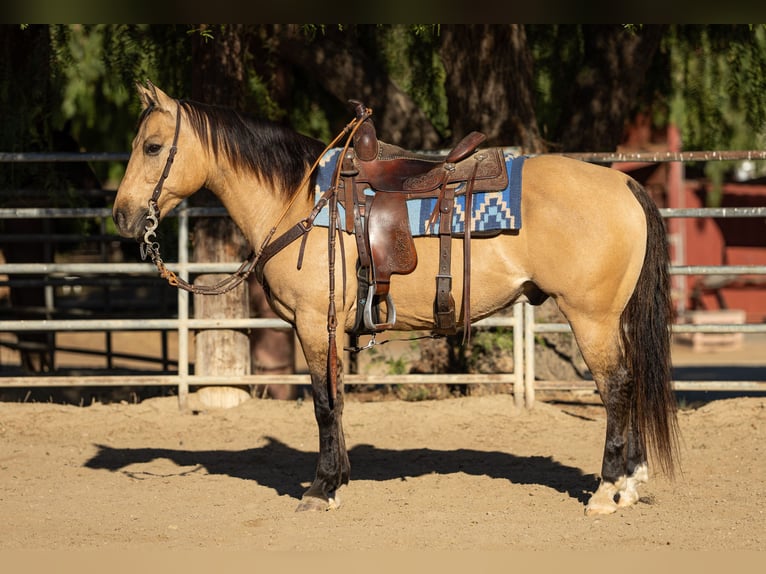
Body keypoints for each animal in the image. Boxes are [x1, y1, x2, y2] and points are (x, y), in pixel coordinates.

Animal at [112, 81, 679, 516]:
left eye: (153, 146)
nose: (122, 216)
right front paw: (338, 480)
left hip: (591, 317)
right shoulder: (328, 329)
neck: (298, 201)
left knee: (617, 387)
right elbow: (338, 402)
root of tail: (625, 184)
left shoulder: (313, 324)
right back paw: (630, 483)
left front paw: (320, 490)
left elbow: (322, 404)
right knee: (631, 383)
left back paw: (606, 491)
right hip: (612, 318)